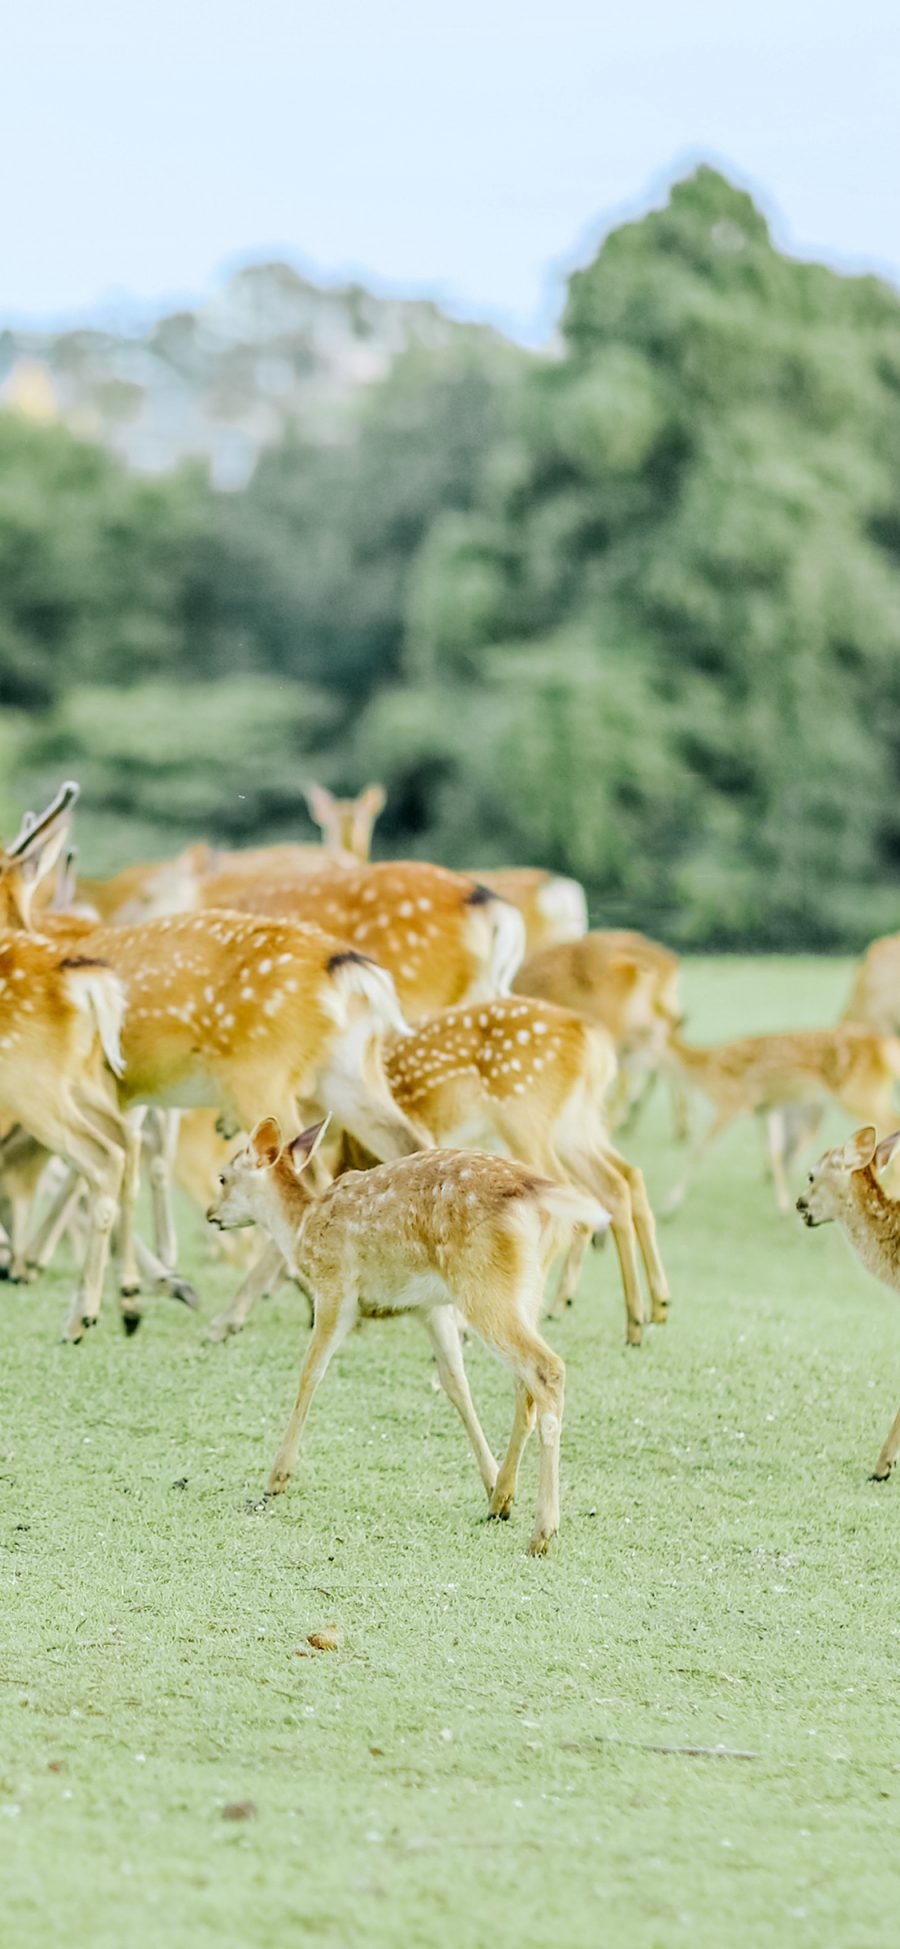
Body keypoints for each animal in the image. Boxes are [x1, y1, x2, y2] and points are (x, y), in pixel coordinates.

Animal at [207, 1114, 603, 1551]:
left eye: (223, 1177)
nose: (210, 1213)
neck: (301, 1228)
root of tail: (537, 1192)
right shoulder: (430, 1308)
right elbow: (455, 1383)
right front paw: (489, 1483)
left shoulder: (335, 1288)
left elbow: (311, 1372)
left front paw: (277, 1477)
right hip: (524, 1290)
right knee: (524, 1386)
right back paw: (503, 1496)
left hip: (483, 1287)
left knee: (547, 1369)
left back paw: (542, 1531)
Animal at [662, 1029, 900, 1208]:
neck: (705, 1071)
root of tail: (884, 1045)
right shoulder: (768, 1108)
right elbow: (775, 1151)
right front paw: (782, 1206)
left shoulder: (729, 1104)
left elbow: (698, 1149)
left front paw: (670, 1205)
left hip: (858, 1097)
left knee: (891, 1123)